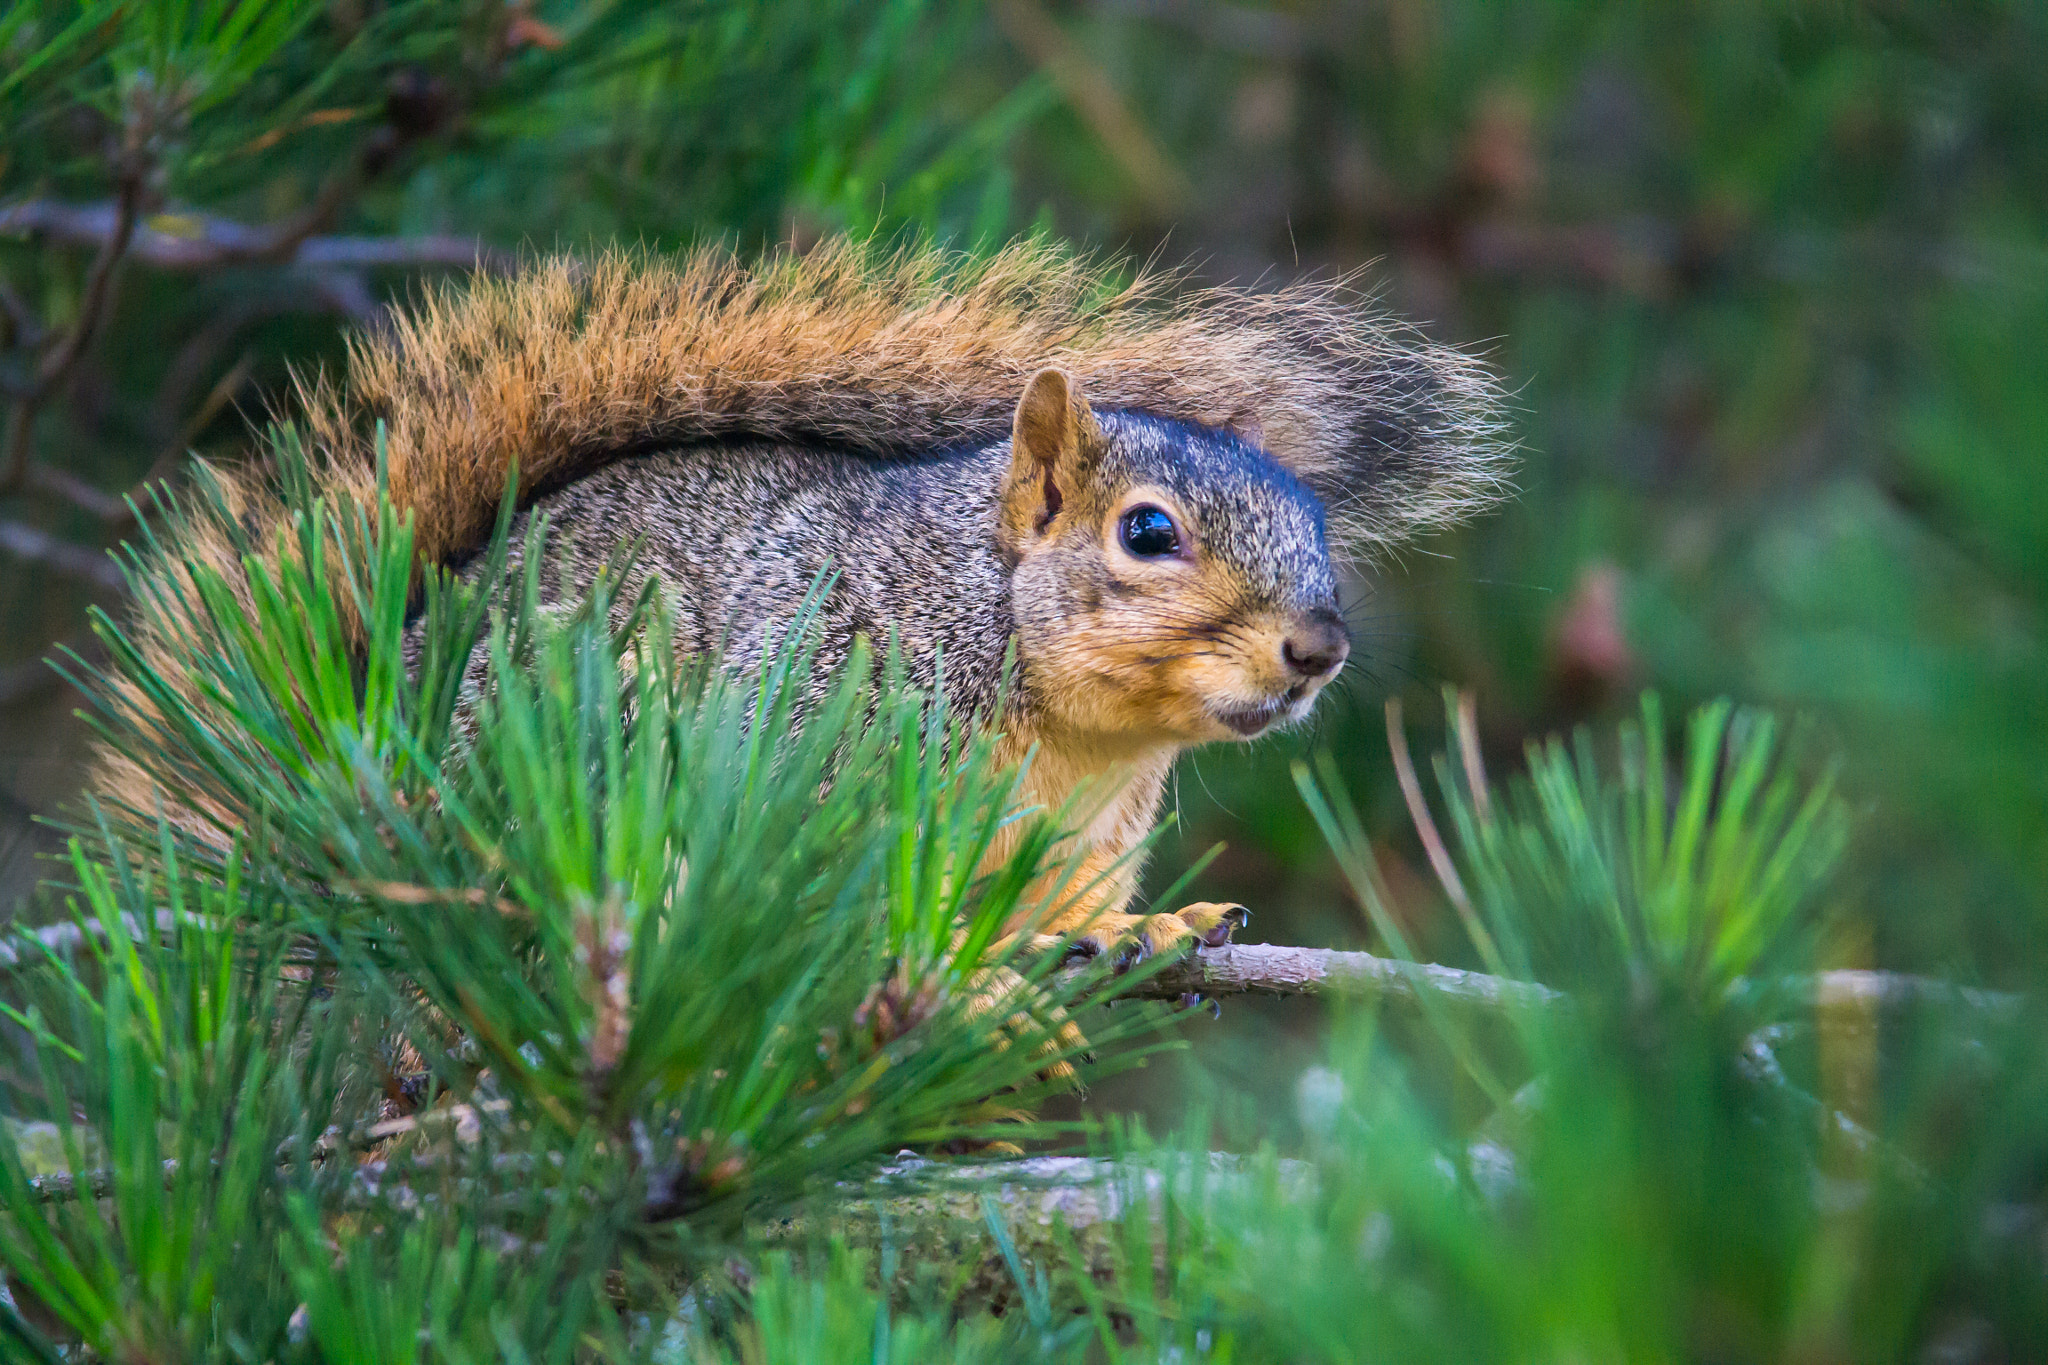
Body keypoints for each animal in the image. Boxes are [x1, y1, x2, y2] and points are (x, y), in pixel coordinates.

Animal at [91, 238, 1510, 960]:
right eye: (1147, 532)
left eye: (1315, 528)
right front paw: (985, 992)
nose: (1318, 648)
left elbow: (1068, 912)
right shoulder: (826, 729)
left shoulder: (1083, 845)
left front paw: (1153, 927)